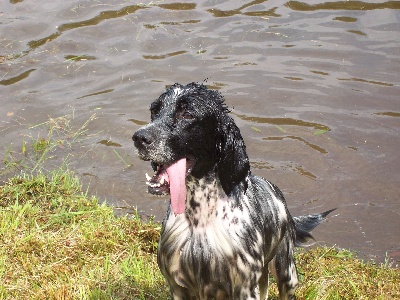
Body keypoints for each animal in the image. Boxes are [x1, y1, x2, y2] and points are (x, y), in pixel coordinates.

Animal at [132, 81, 334, 298]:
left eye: (187, 114)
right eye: (155, 110)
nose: (139, 138)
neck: (200, 218)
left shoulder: (244, 287)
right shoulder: (177, 286)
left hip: (286, 271)